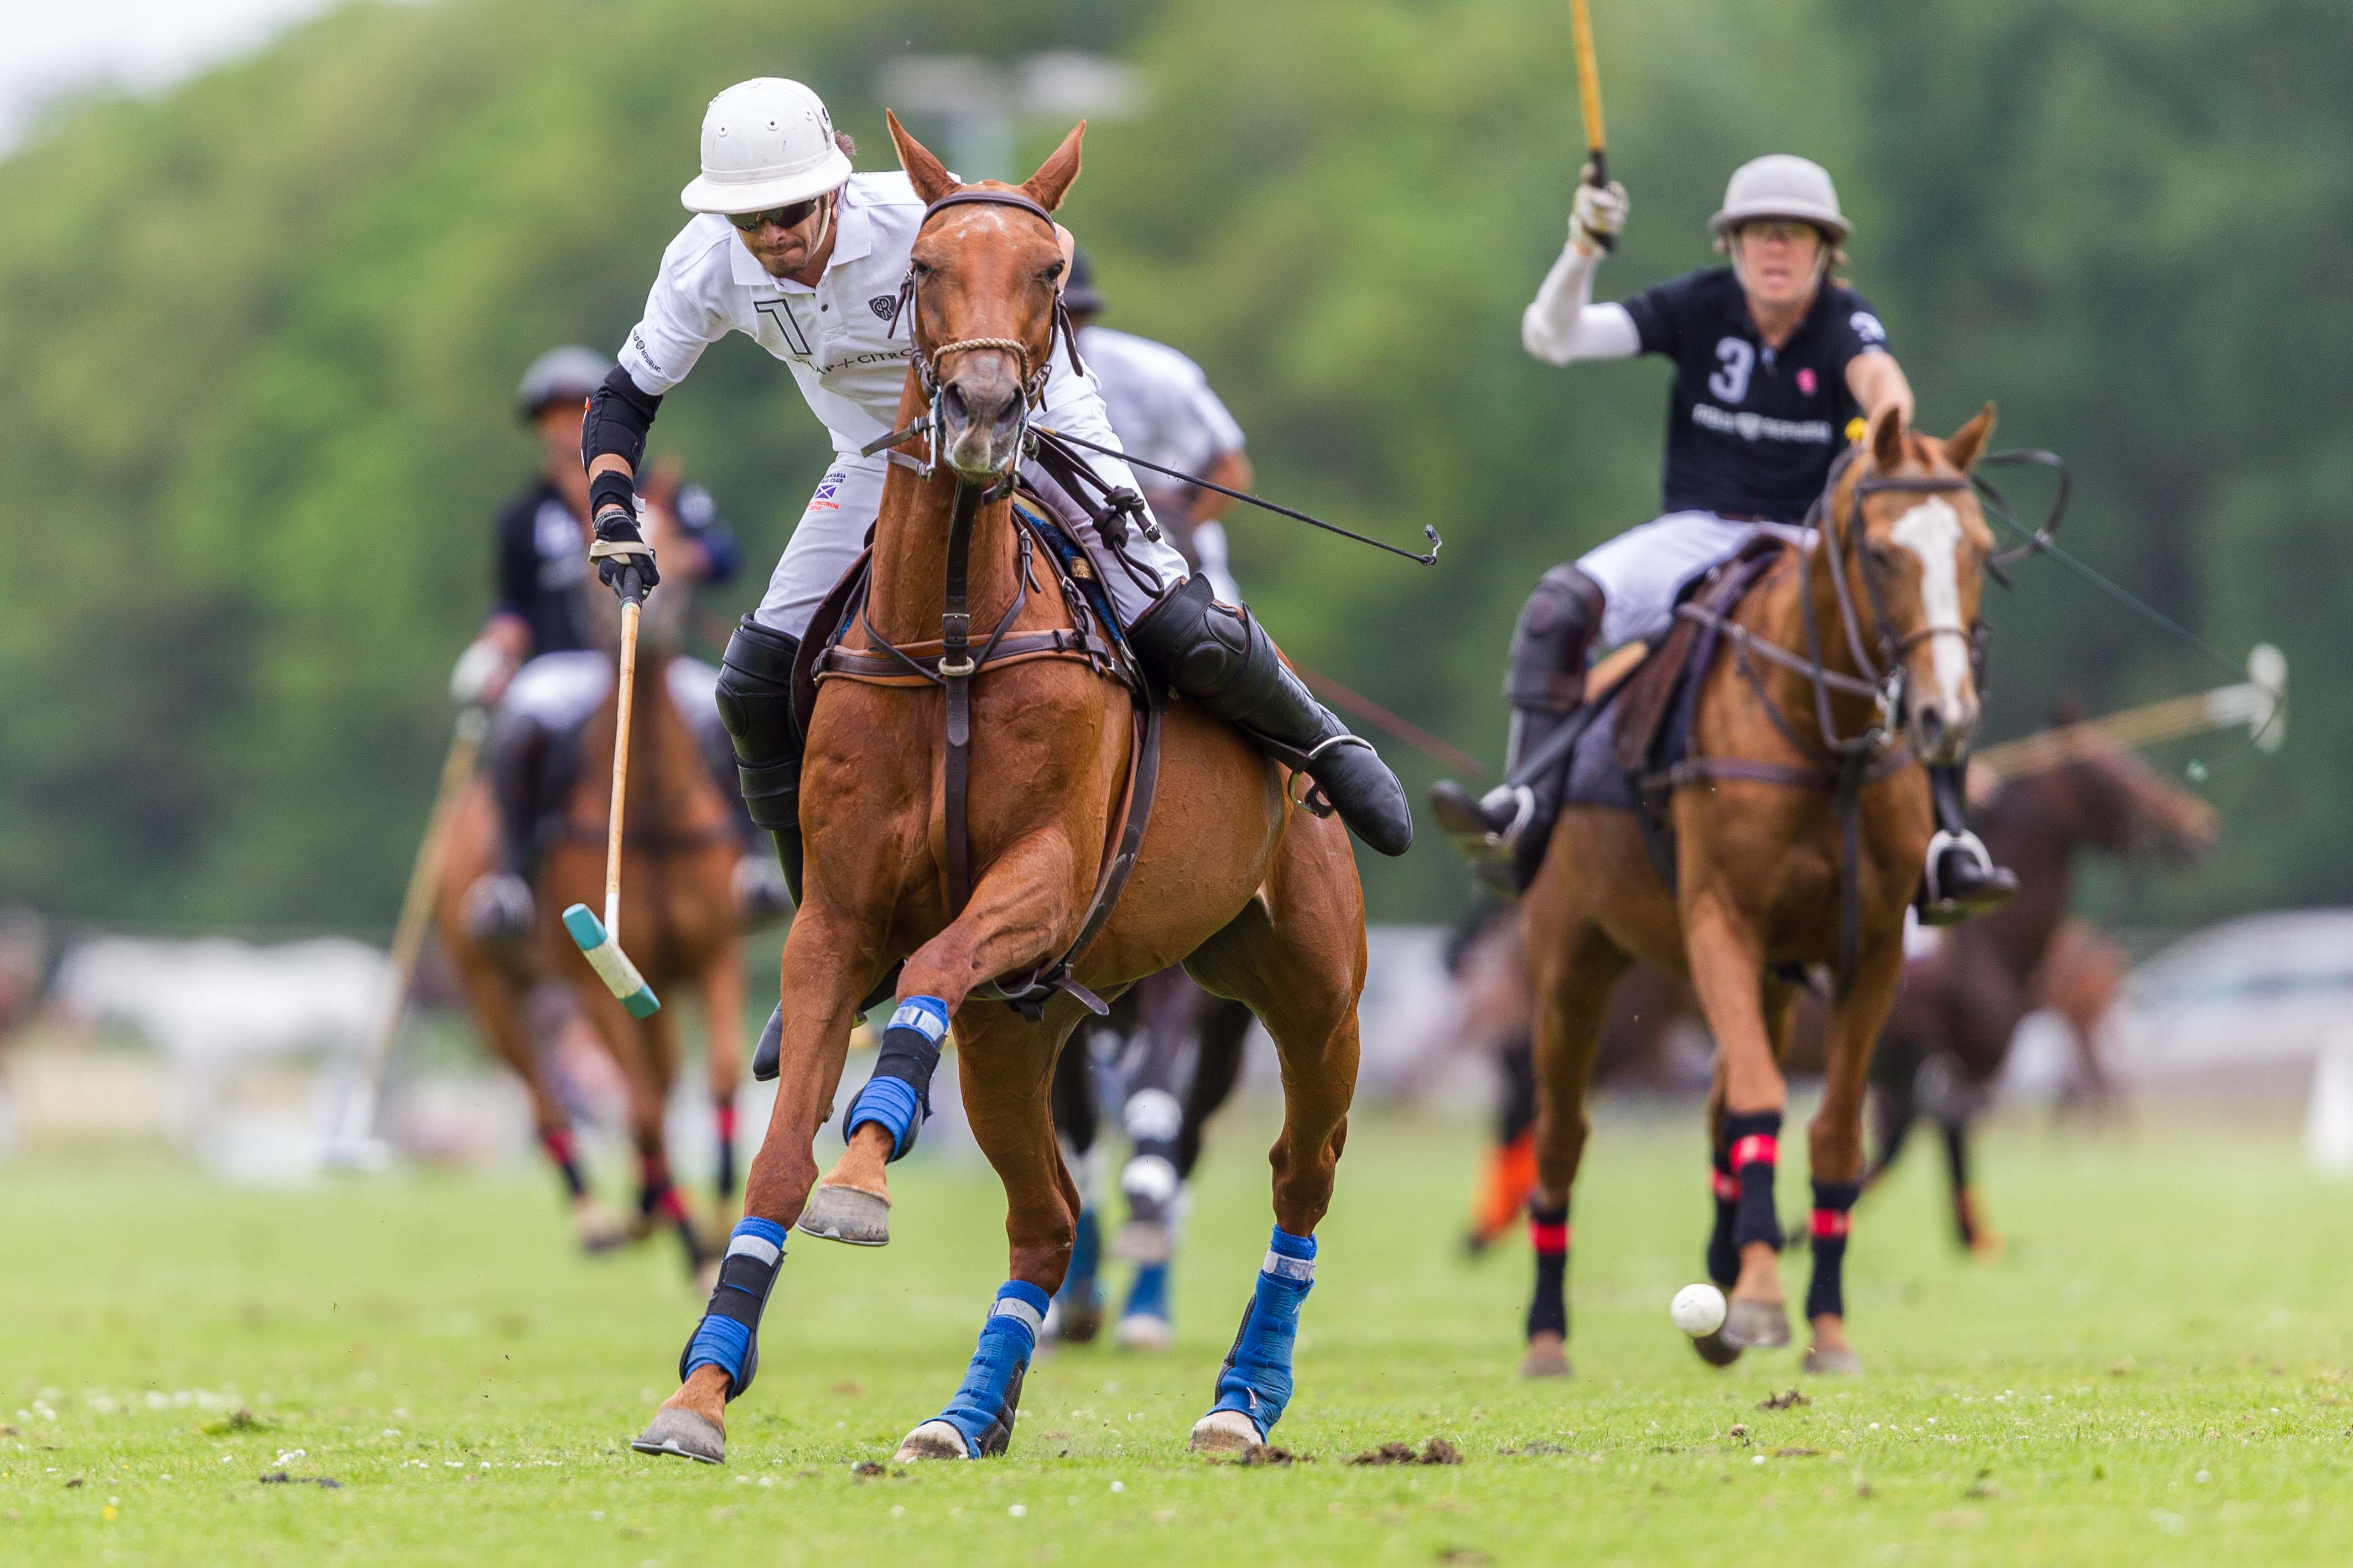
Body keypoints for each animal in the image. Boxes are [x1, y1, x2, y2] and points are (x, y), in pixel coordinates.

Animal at [435, 498, 748, 1279]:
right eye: (585, 571)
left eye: (692, 547)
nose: (649, 615)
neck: (651, 809)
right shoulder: (587, 983)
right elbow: (640, 1104)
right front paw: (690, 1243)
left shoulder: (712, 955)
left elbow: (720, 1078)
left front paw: (712, 1224)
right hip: (491, 985)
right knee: (548, 1099)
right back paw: (601, 1220)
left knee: (663, 1082)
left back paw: (646, 1210)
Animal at [630, 116, 1367, 1467]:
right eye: (921, 271)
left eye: (1046, 271)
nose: (978, 411)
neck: (955, 638)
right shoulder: (834, 924)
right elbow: (775, 1162)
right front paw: (699, 1393)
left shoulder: (1042, 881)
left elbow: (922, 978)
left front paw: (862, 1177)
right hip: (1018, 1029)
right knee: (1048, 1211)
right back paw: (965, 1415)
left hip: (1308, 990)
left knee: (1300, 1172)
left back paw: (1241, 1402)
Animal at [1514, 405, 2001, 1379]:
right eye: (1881, 554)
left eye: (1977, 547)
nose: (1946, 717)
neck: (1825, 736)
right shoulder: (1719, 923)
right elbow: (1758, 1101)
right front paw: (1765, 1302)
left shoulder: (1871, 950)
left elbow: (1835, 1130)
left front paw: (1826, 1328)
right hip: (1570, 962)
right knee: (1562, 1134)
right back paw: (1548, 1335)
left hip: (1777, 975)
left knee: (1714, 1099)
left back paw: (1721, 1273)